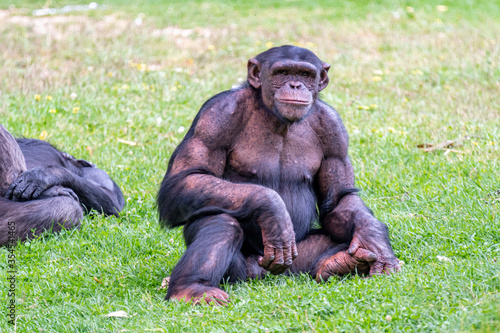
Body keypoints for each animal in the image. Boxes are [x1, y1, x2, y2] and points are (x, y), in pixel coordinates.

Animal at [158, 44, 400, 304]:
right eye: (282, 72)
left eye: (305, 74)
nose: (295, 85)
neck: (278, 119)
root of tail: (266, 274)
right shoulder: (215, 117)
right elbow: (185, 179)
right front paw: (272, 209)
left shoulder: (334, 130)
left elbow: (339, 199)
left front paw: (375, 239)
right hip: (242, 271)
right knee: (221, 221)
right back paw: (191, 288)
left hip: (298, 260)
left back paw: (340, 262)